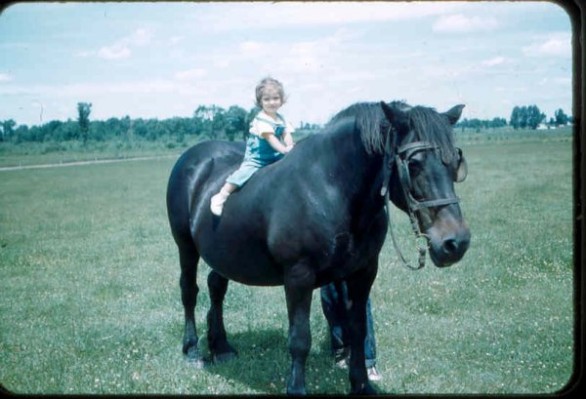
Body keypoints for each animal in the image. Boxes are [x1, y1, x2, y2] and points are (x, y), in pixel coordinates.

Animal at [165, 100, 470, 394]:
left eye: (455, 161)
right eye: (414, 163)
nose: (456, 242)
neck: (330, 187)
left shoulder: (363, 273)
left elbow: (357, 330)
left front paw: (362, 385)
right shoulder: (299, 276)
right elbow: (300, 338)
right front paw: (296, 388)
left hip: (225, 253)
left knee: (216, 287)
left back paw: (221, 347)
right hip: (185, 247)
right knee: (189, 291)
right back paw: (192, 350)